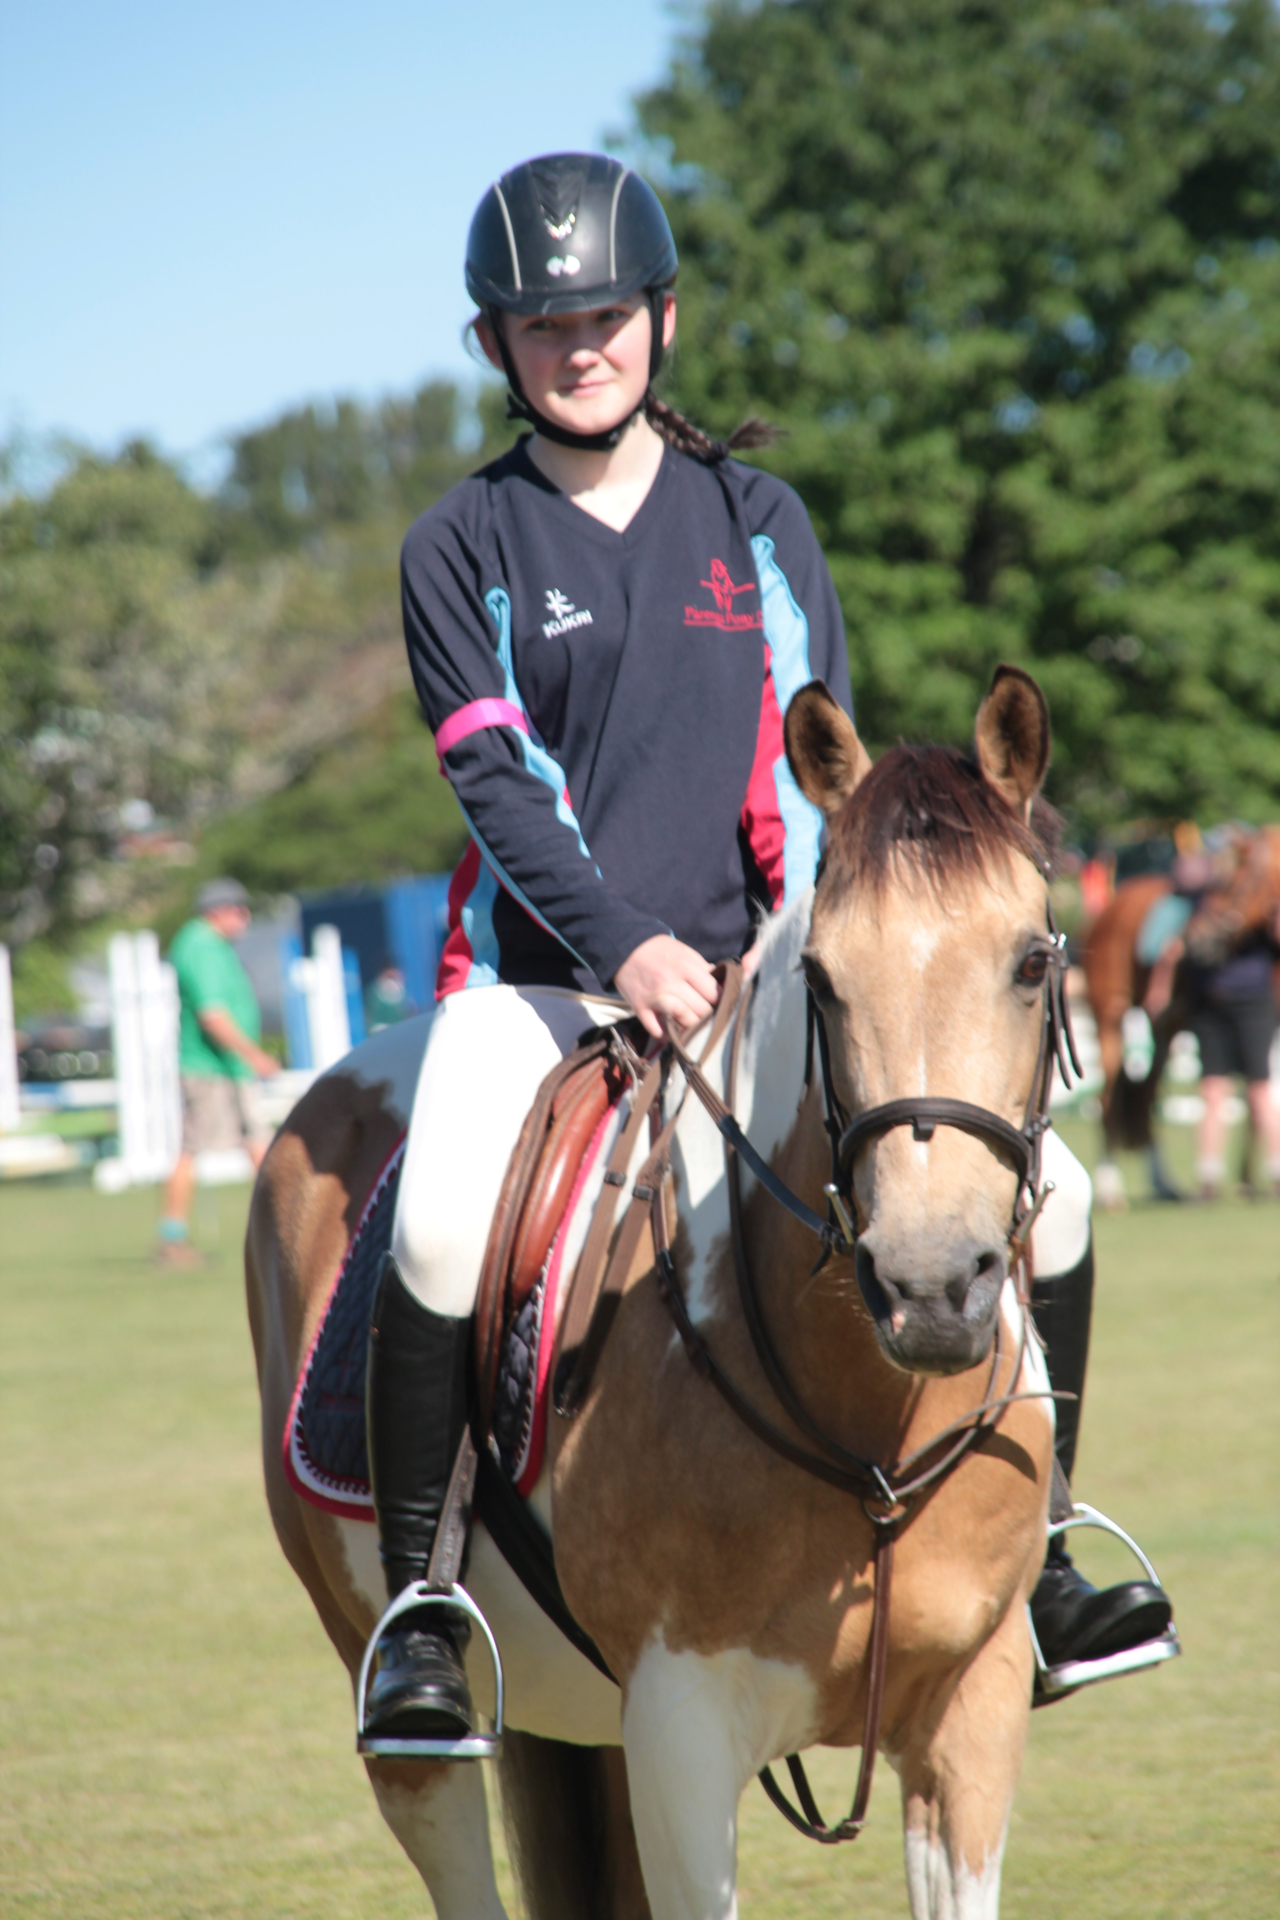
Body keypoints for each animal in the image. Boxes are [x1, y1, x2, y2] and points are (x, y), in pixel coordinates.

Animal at [247, 665, 1066, 1919]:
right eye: (821, 978)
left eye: (1029, 961)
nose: (928, 1286)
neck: (866, 1430)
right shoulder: (680, 1731)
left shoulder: (972, 1711)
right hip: (408, 1711)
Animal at [1082, 826, 1280, 1208]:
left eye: (1234, 885)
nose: (1198, 939)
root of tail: (1115, 902)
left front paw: (1248, 1179)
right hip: (1110, 1017)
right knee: (1109, 1099)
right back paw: (1111, 1188)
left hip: (1165, 1028)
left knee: (1145, 1097)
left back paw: (1163, 1184)